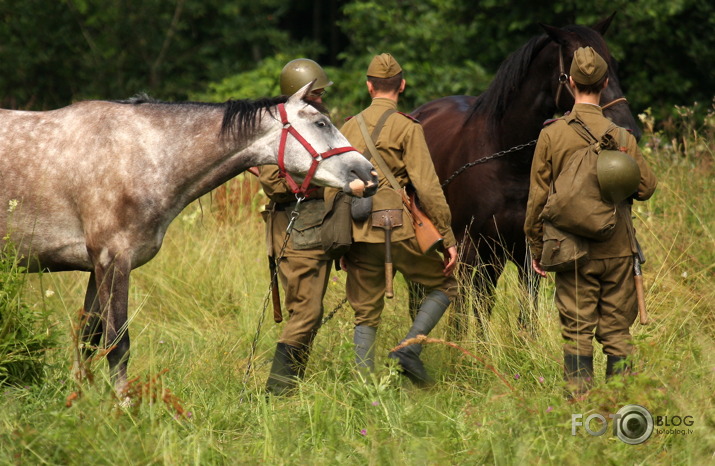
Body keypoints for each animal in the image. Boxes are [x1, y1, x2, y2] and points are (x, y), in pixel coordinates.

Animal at [412, 16, 640, 326]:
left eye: (613, 63)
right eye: (576, 67)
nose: (628, 128)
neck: (508, 159)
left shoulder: (526, 255)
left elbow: (525, 319)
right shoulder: (466, 249)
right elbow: (459, 316)